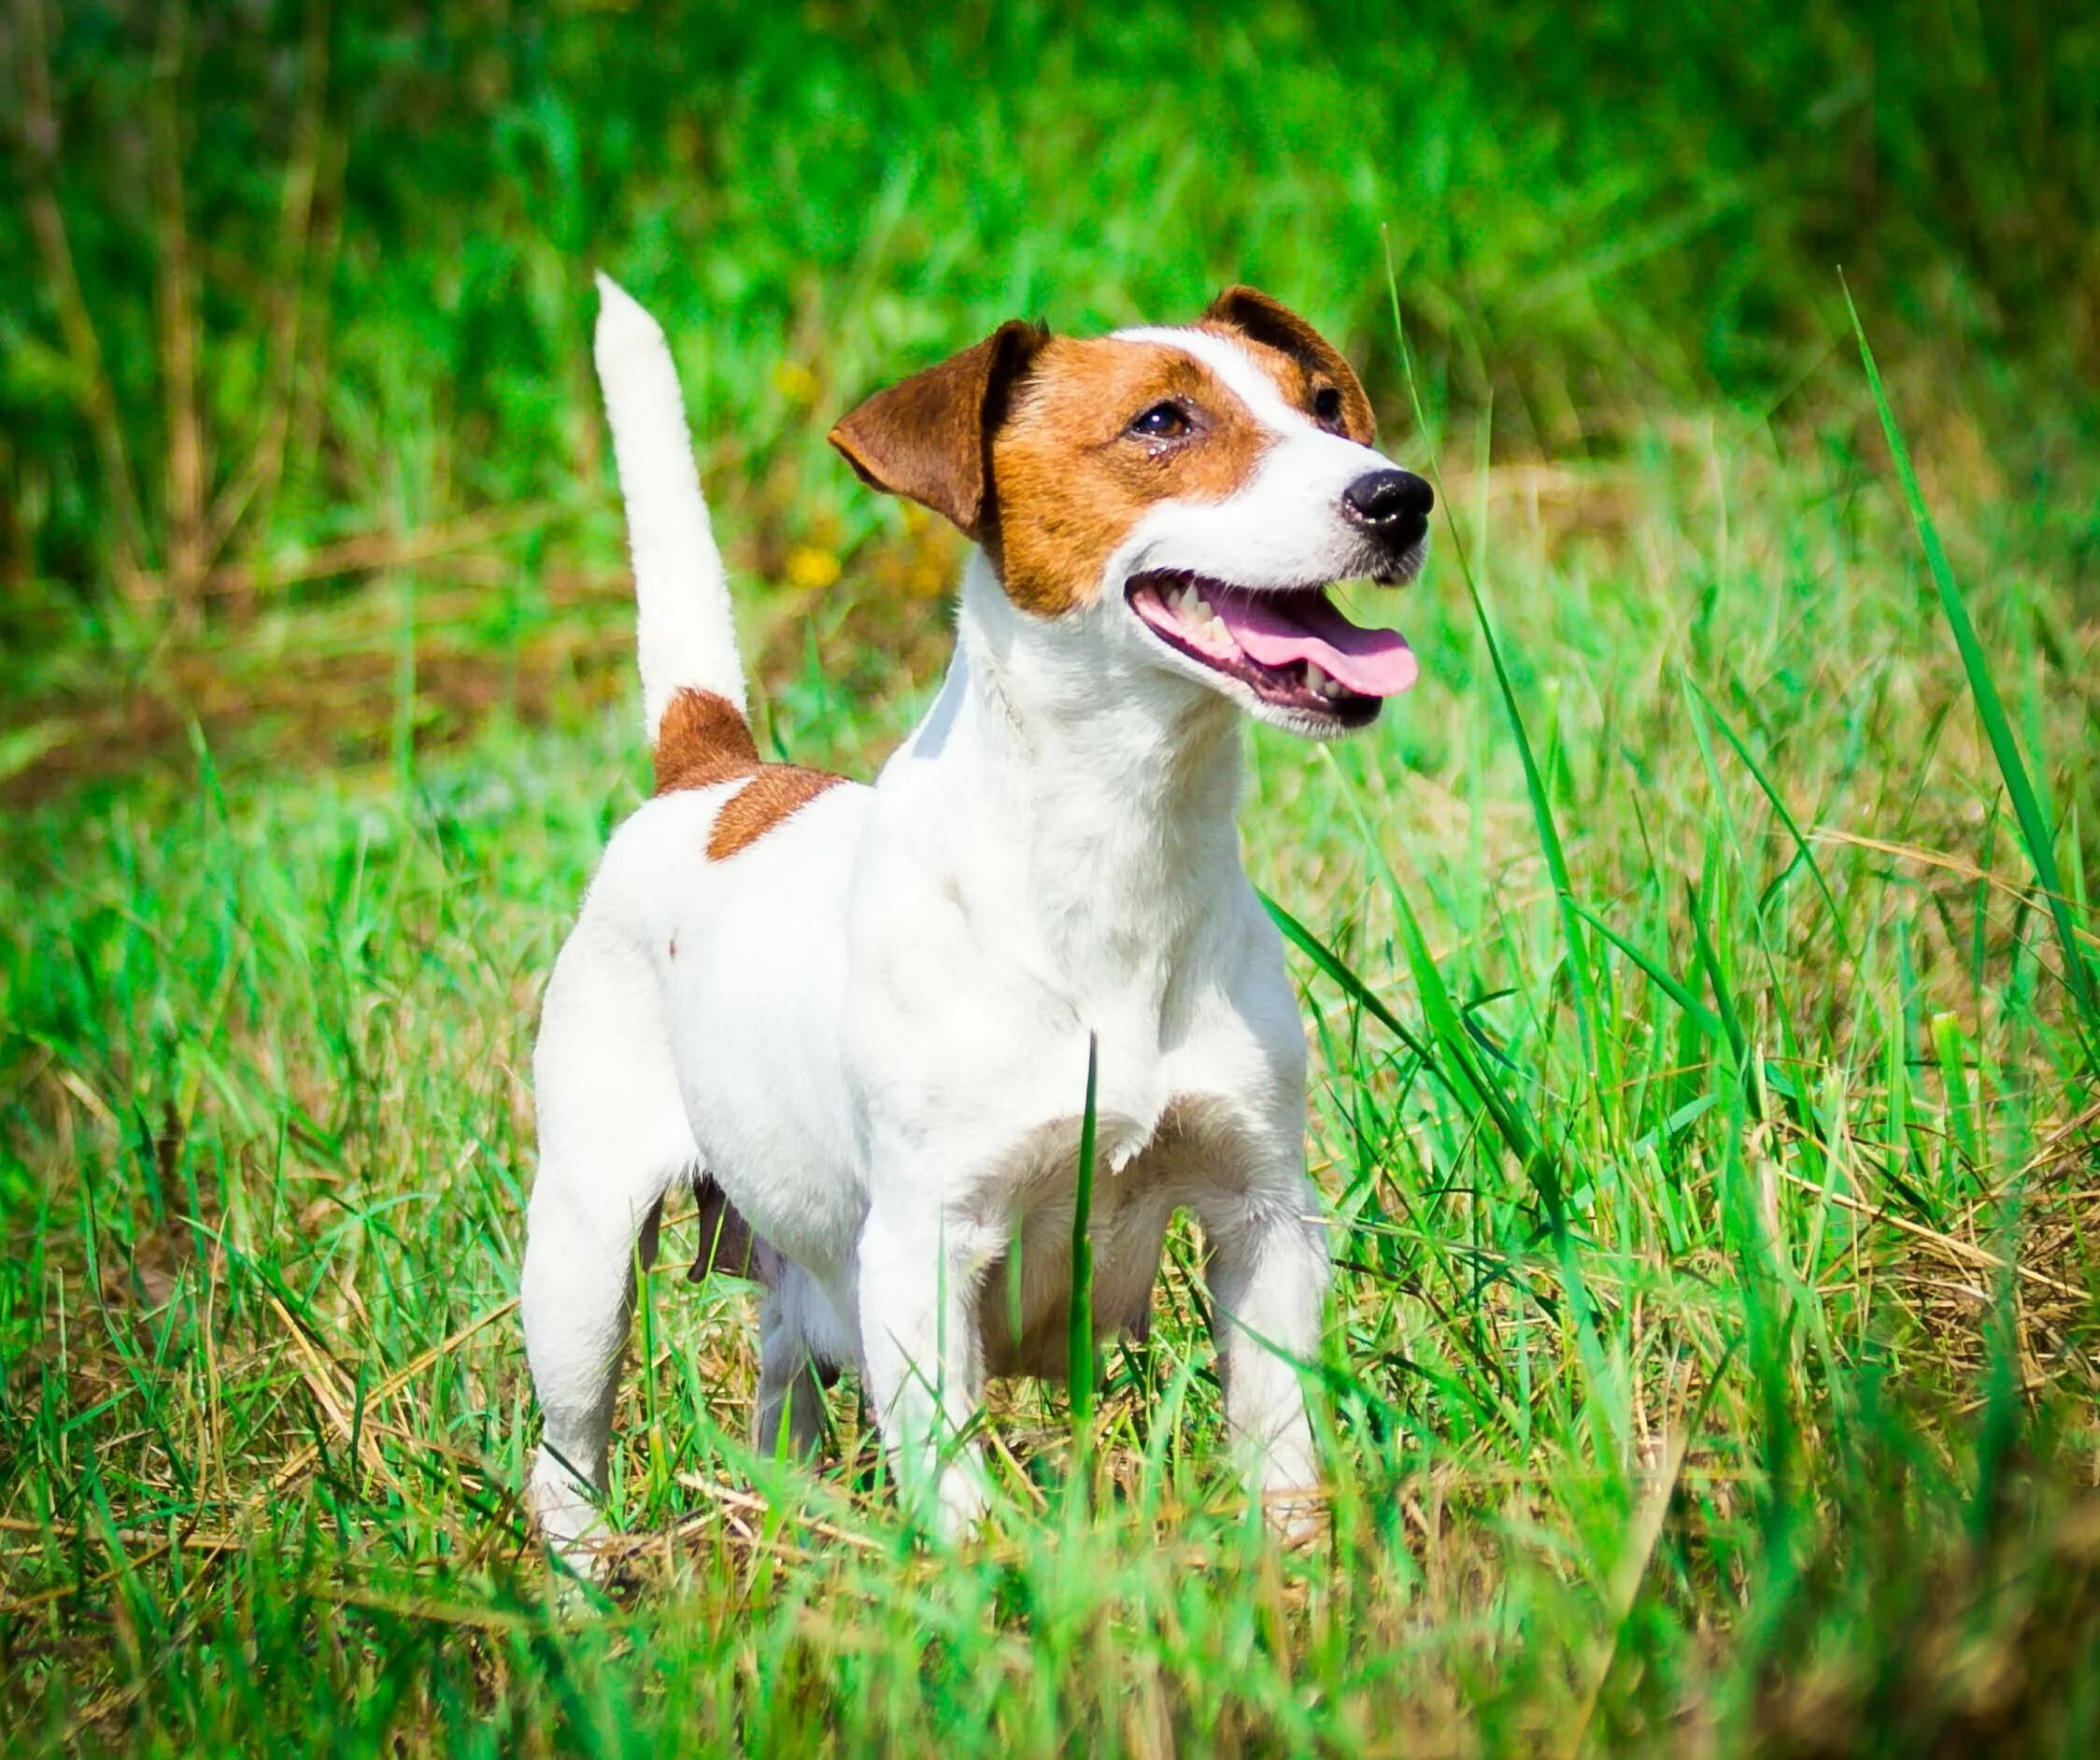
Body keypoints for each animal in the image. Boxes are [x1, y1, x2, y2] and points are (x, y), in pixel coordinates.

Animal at [529, 275, 1427, 1554]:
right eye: (1162, 422)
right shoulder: (924, 1251)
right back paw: (586, 1571)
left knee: (781, 1369)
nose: (1398, 496)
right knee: (563, 1452)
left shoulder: (1265, 1211)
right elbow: (952, 1484)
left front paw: (1296, 1564)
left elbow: (1280, 1437)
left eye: (1323, 407)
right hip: (580, 1252)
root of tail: (711, 773)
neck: (1119, 852)